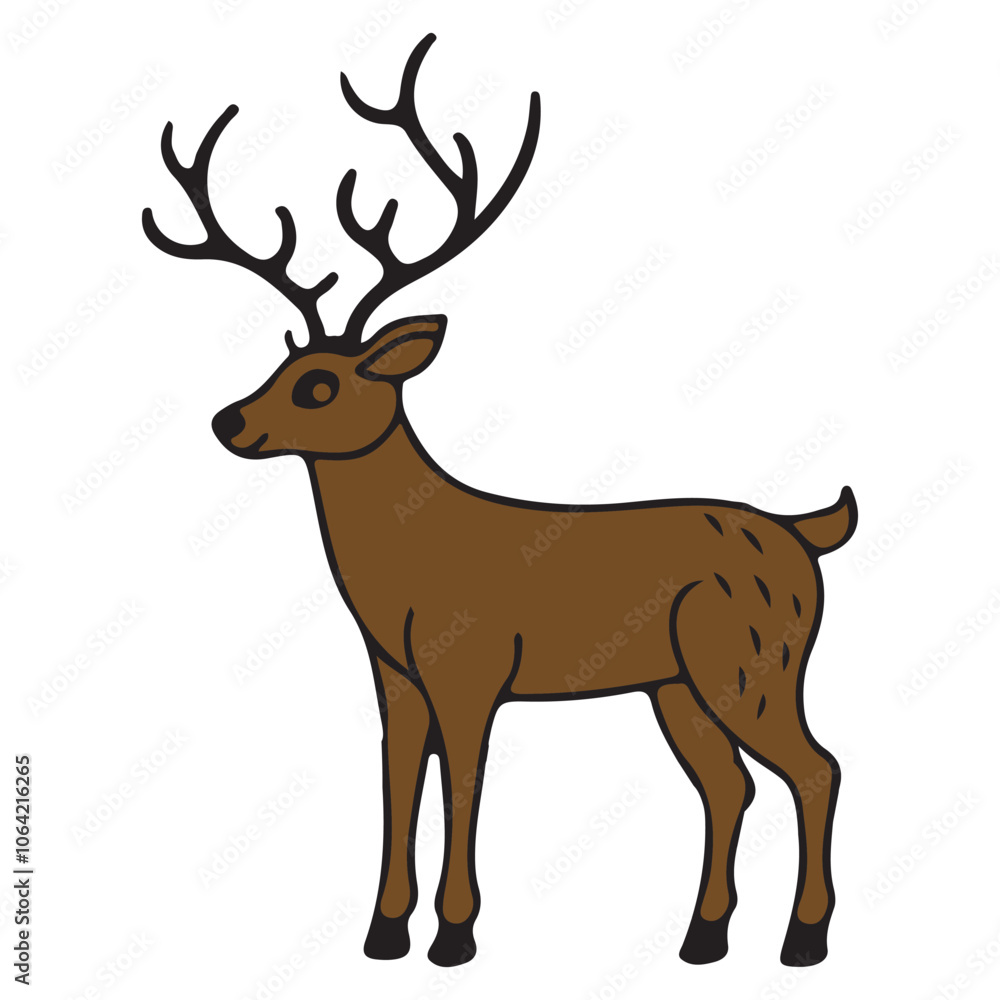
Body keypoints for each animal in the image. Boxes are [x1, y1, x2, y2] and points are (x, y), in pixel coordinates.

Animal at [143, 33, 857, 969]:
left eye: (321, 385)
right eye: (285, 361)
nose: (228, 421)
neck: (408, 568)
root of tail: (807, 532)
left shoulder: (471, 667)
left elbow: (464, 786)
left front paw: (453, 936)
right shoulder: (396, 676)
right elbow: (397, 782)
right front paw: (382, 933)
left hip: (754, 660)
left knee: (816, 768)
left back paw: (802, 941)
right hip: (679, 683)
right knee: (730, 786)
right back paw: (702, 939)